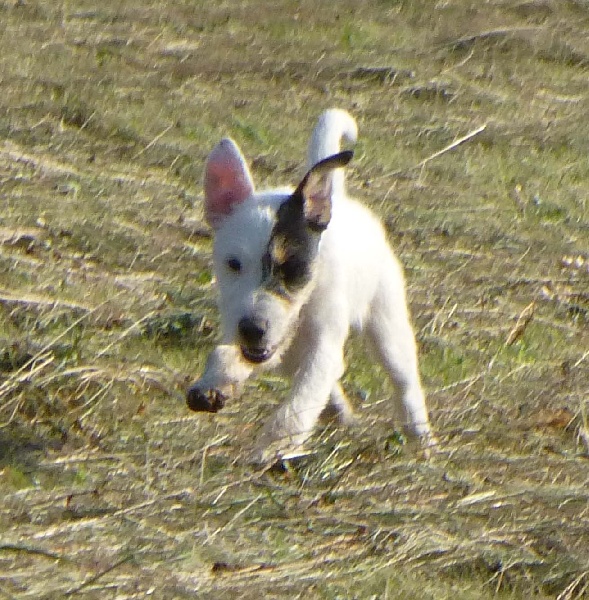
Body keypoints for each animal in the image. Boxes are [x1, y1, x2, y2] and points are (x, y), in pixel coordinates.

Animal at [188, 109, 432, 464]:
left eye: (293, 268)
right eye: (233, 264)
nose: (252, 329)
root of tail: (338, 199)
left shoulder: (323, 344)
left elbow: (301, 400)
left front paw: (274, 447)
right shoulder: (257, 336)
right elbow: (230, 353)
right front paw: (215, 380)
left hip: (387, 325)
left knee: (404, 383)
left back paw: (422, 437)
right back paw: (338, 409)